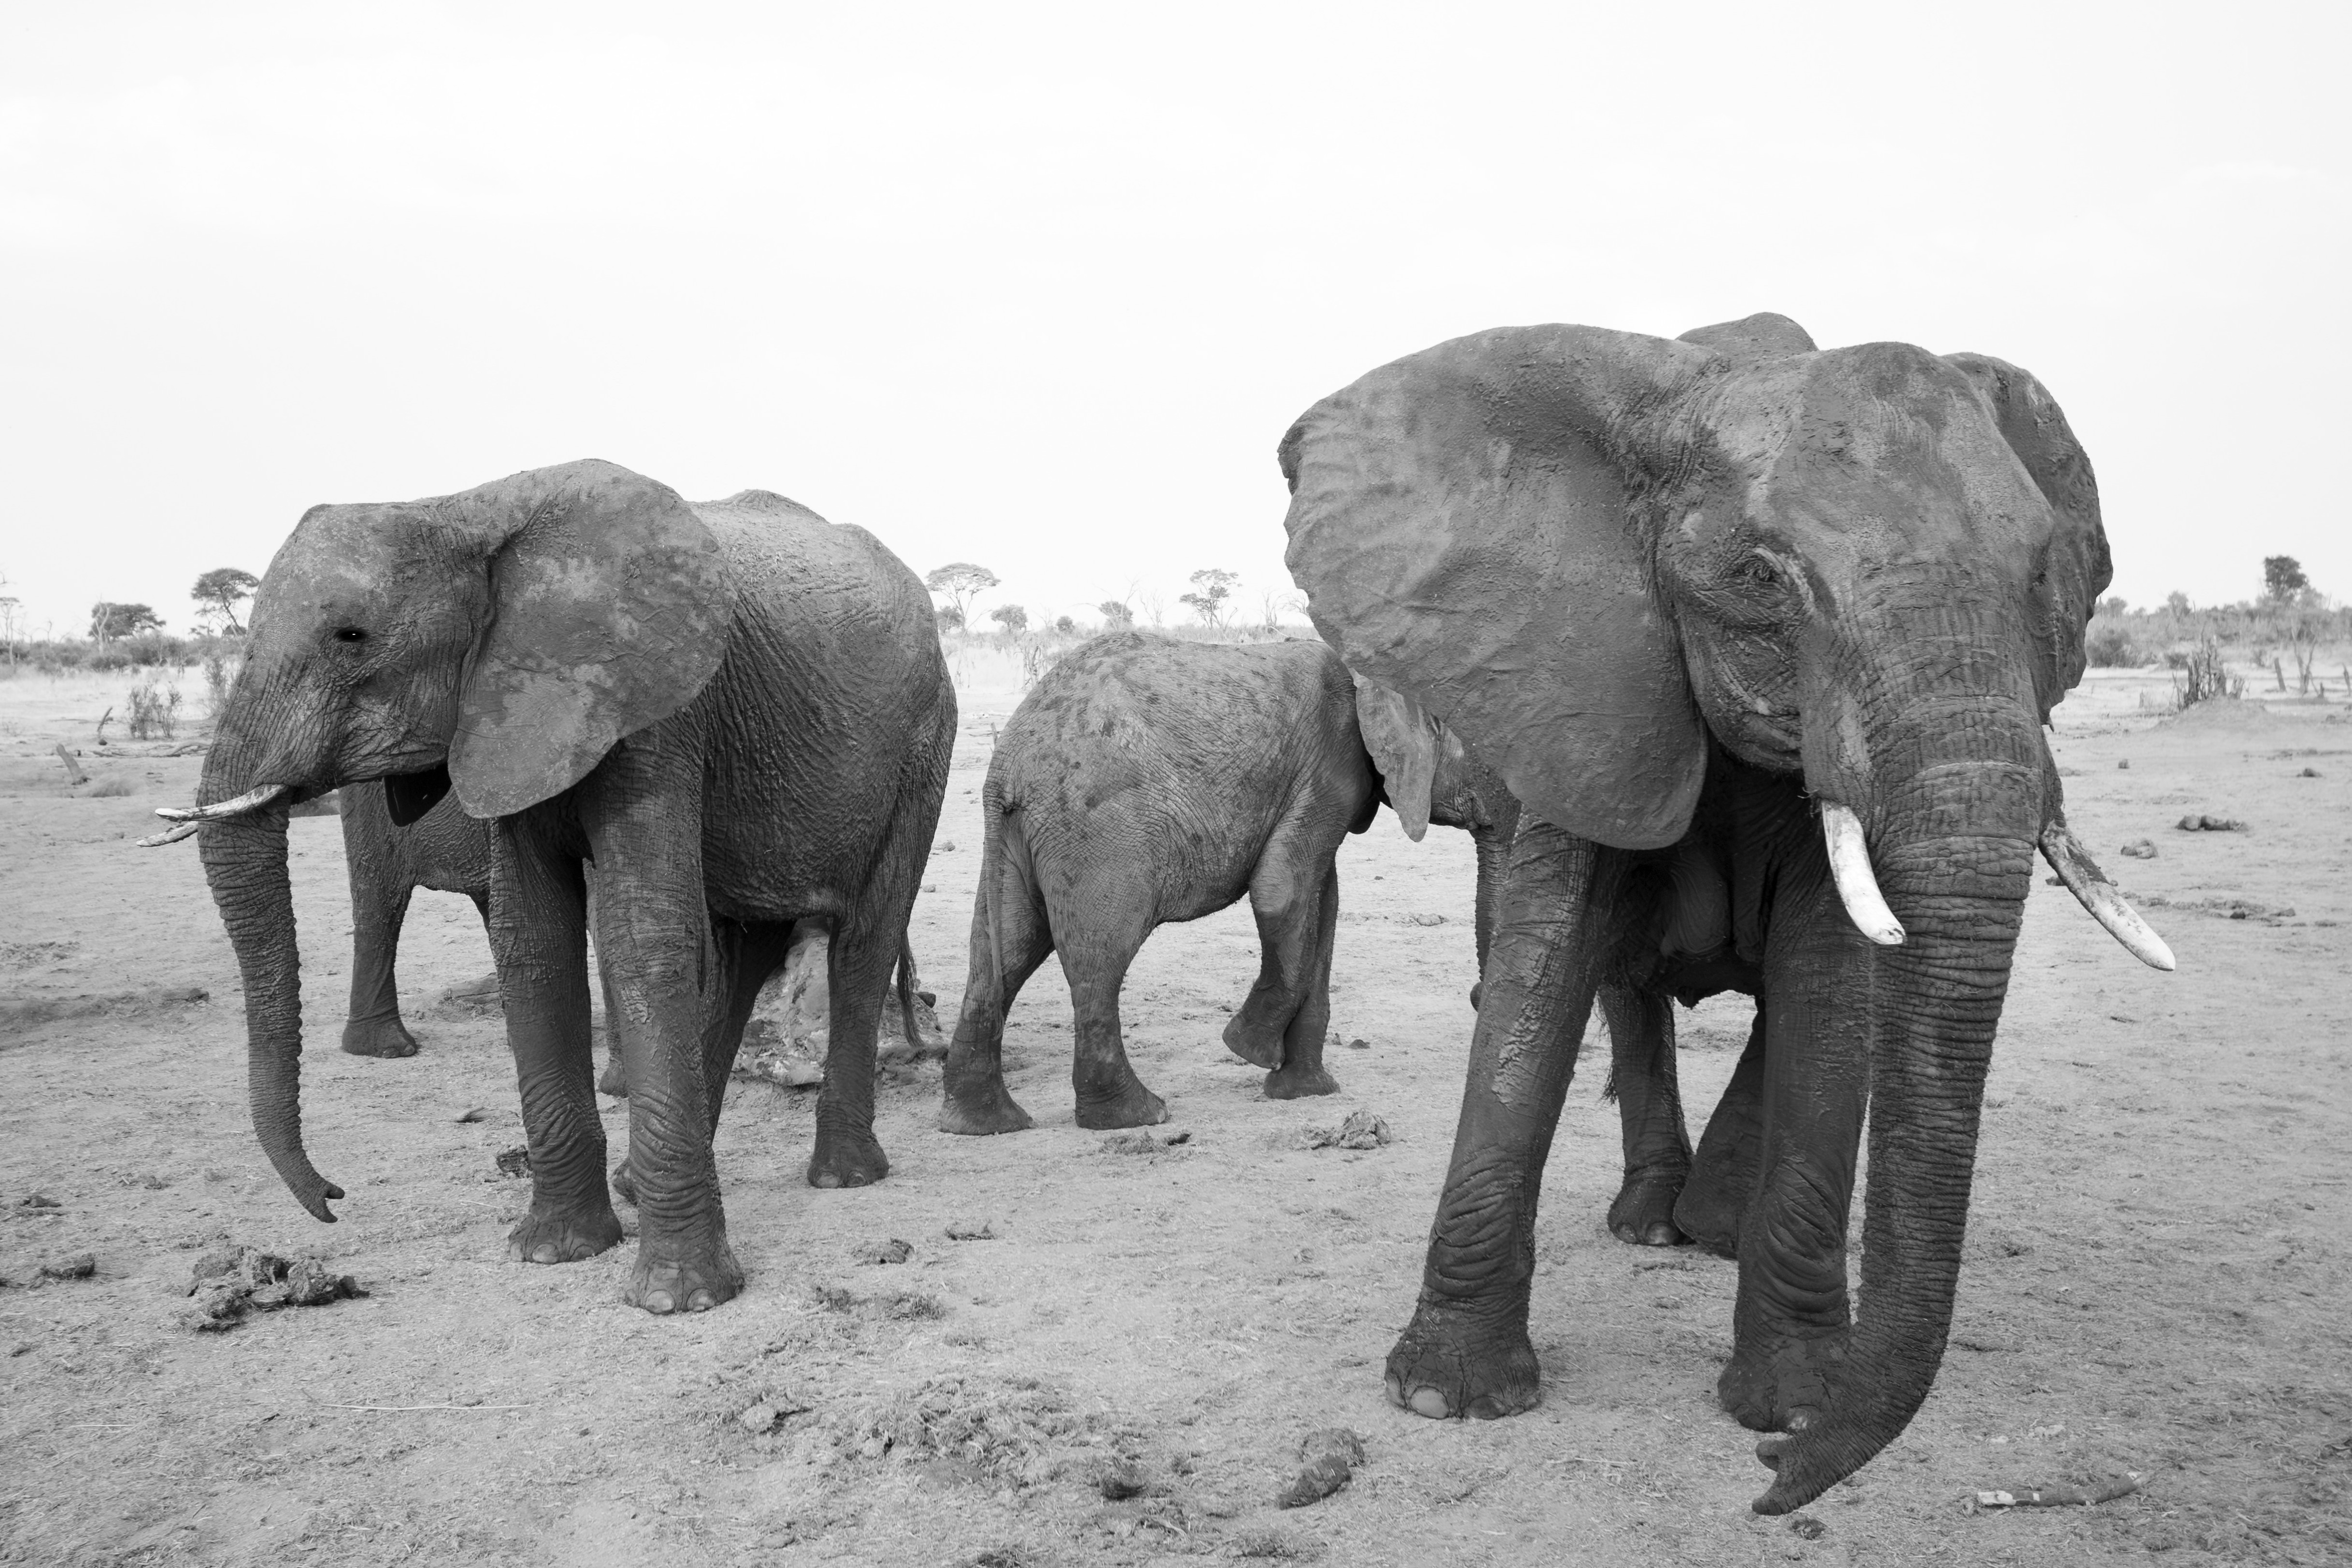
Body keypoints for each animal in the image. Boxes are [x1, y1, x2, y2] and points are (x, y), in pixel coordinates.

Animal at [146, 460, 955, 1316]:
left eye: (351, 635)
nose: (333, 1197)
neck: (462, 508)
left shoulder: (654, 707)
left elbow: (641, 937)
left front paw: (679, 1297)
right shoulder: (507, 717)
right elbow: (532, 941)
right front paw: (553, 1252)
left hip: (924, 741)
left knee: (863, 939)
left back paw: (843, 1175)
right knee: (748, 948)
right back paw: (637, 1181)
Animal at [937, 631, 1378, 1133]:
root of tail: (1003, 771)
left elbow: (1325, 902)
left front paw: (1306, 1091)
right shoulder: (1331, 766)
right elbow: (1280, 890)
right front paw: (1247, 1049)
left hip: (1015, 844)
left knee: (1003, 950)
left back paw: (985, 1122)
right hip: (1099, 833)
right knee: (1099, 956)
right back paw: (1137, 1116)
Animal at [1278, 313, 2174, 1511]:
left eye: (2041, 576)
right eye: (1758, 578)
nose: (1767, 1485)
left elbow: (1831, 989)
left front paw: (1792, 1402)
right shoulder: (1580, 687)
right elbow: (1539, 976)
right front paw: (1440, 1397)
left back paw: (1708, 1229)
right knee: (1623, 994)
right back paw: (1657, 1224)